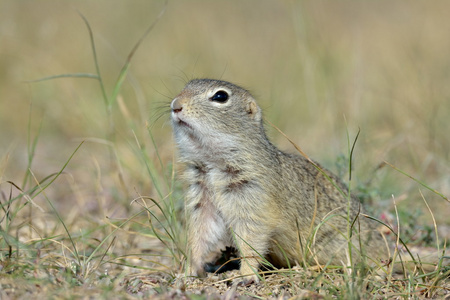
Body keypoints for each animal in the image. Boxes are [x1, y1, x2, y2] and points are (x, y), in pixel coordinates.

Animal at [171, 78, 388, 284]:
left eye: (220, 96)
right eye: (186, 86)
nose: (175, 105)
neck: (212, 163)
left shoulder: (253, 198)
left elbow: (250, 239)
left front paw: (244, 275)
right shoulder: (202, 200)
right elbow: (199, 236)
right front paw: (187, 272)